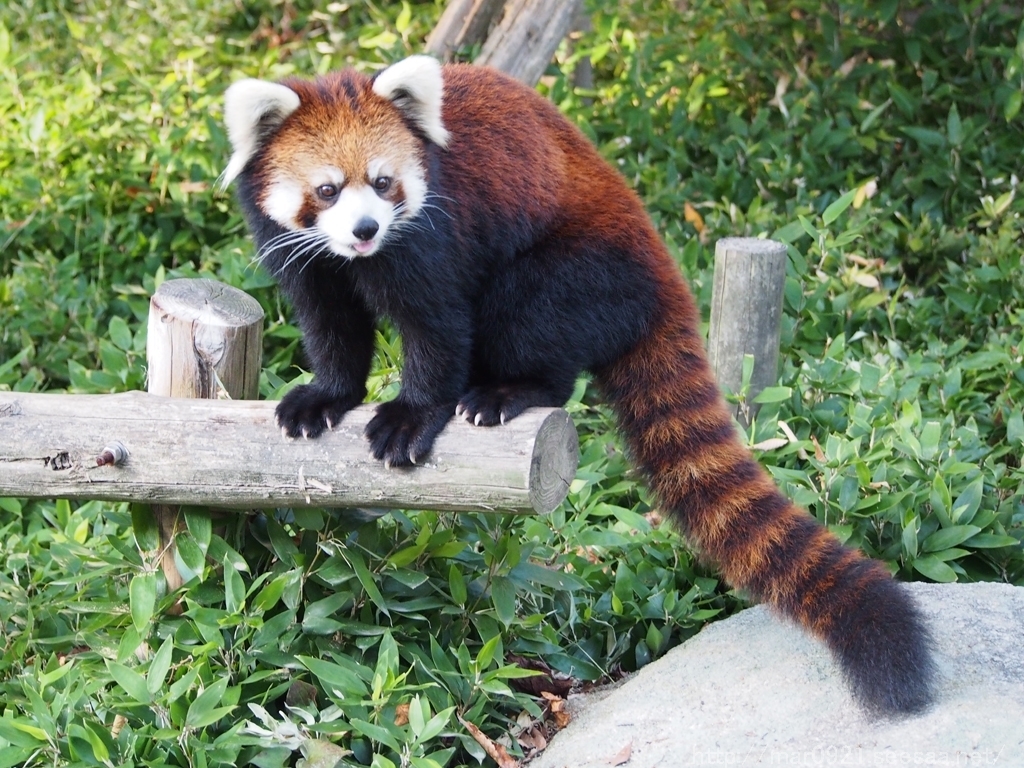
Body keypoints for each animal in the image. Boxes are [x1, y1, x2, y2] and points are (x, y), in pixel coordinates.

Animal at [224, 54, 937, 716]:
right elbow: (331, 324)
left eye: (382, 182)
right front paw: (327, 396)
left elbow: (436, 326)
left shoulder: (433, 233)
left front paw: (411, 416)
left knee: (527, 312)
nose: (367, 229)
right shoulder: (303, 253)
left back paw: (508, 392)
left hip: (583, 270)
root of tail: (661, 270)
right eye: (327, 189)